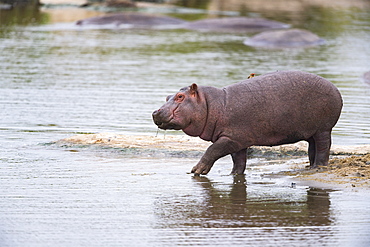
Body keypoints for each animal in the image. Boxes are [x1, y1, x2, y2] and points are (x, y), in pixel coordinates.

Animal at [152, 71, 342, 176]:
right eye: (167, 97)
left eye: (180, 96)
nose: (155, 112)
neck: (211, 104)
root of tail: (334, 87)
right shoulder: (237, 140)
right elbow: (239, 161)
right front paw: (233, 175)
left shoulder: (230, 139)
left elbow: (212, 151)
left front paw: (196, 171)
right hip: (311, 131)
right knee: (313, 148)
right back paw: (309, 167)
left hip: (324, 129)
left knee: (324, 147)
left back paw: (318, 167)